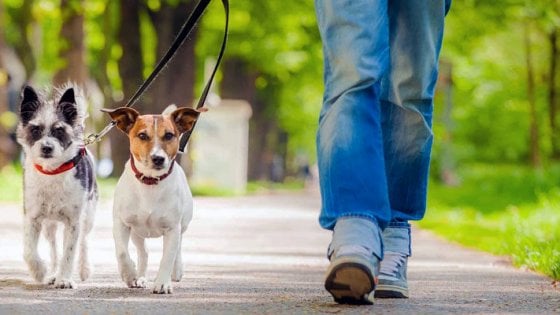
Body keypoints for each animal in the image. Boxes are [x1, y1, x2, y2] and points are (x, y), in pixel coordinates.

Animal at [15, 86, 98, 288]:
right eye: (35, 129)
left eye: (59, 130)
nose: (47, 148)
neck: (52, 172)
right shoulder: (32, 217)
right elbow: (29, 251)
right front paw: (39, 272)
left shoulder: (74, 221)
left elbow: (69, 252)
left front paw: (65, 279)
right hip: (49, 226)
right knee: (53, 248)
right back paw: (53, 273)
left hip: (89, 215)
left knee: (84, 241)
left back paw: (84, 269)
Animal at [101, 105, 205, 296]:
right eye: (142, 135)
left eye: (169, 135)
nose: (158, 158)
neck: (150, 182)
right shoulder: (121, 224)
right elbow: (122, 253)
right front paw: (129, 274)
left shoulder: (172, 228)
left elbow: (167, 257)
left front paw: (162, 283)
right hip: (137, 233)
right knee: (144, 252)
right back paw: (140, 277)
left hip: (182, 225)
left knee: (178, 247)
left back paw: (176, 270)